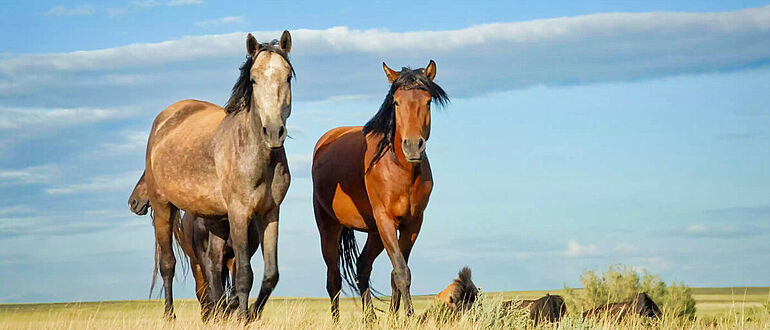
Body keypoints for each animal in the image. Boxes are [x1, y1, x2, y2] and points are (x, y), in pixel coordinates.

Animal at [141, 31, 292, 320]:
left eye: (287, 77)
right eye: (253, 80)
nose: (274, 132)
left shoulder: (270, 212)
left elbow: (271, 274)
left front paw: (250, 313)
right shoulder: (239, 212)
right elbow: (244, 274)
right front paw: (243, 317)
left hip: (214, 220)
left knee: (214, 270)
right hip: (164, 206)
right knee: (168, 264)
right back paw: (169, 315)